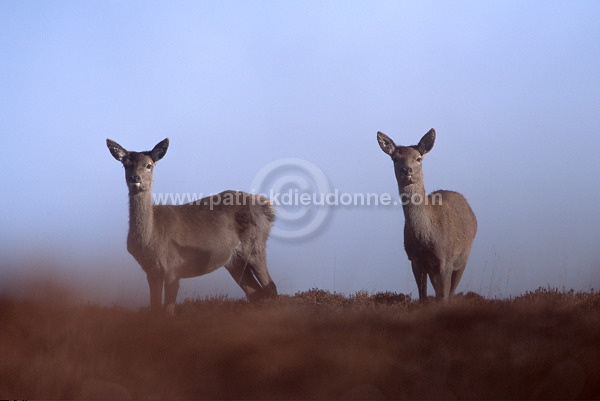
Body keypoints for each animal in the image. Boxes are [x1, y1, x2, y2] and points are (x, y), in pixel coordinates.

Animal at [106, 138, 278, 316]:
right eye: (126, 165)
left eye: (149, 165)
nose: (135, 177)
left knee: (271, 286)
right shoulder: (151, 271)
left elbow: (168, 310)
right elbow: (154, 307)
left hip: (255, 244)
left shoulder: (173, 266)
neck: (150, 239)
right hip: (233, 261)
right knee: (254, 292)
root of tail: (266, 206)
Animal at [378, 128, 476, 300]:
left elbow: (443, 298)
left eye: (418, 158)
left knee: (451, 292)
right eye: (395, 159)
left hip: (463, 259)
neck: (426, 238)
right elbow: (423, 297)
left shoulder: (446, 259)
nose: (407, 170)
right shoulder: (415, 260)